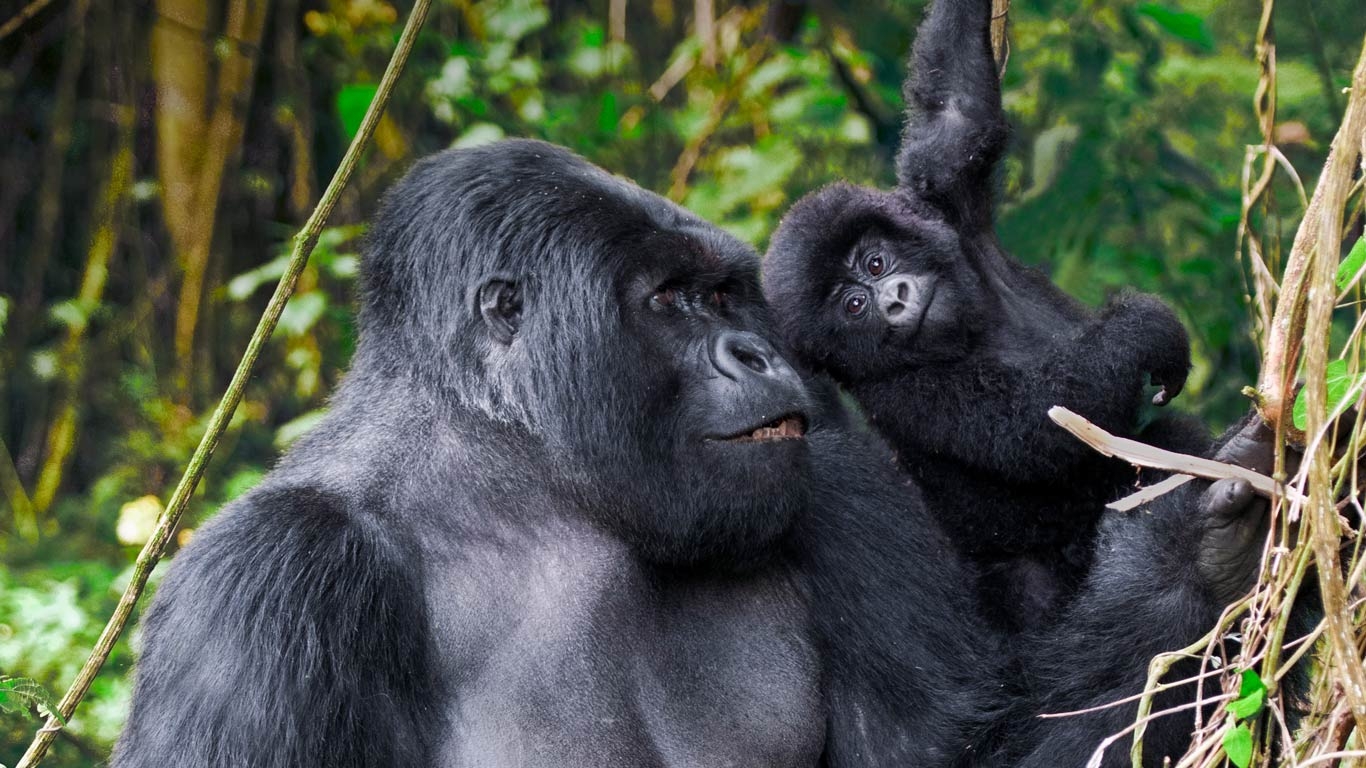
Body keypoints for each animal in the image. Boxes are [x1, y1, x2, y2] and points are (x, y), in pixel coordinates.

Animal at [112, 138, 1262, 765]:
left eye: (724, 291)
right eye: (671, 301)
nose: (757, 350)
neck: (523, 479)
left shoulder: (835, 477)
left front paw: (1195, 556)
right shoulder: (269, 577)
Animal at [770, 0, 1207, 628]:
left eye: (875, 262)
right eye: (854, 307)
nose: (895, 298)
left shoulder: (943, 208)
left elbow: (957, 116)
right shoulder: (902, 391)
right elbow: (1032, 426)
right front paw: (1143, 330)